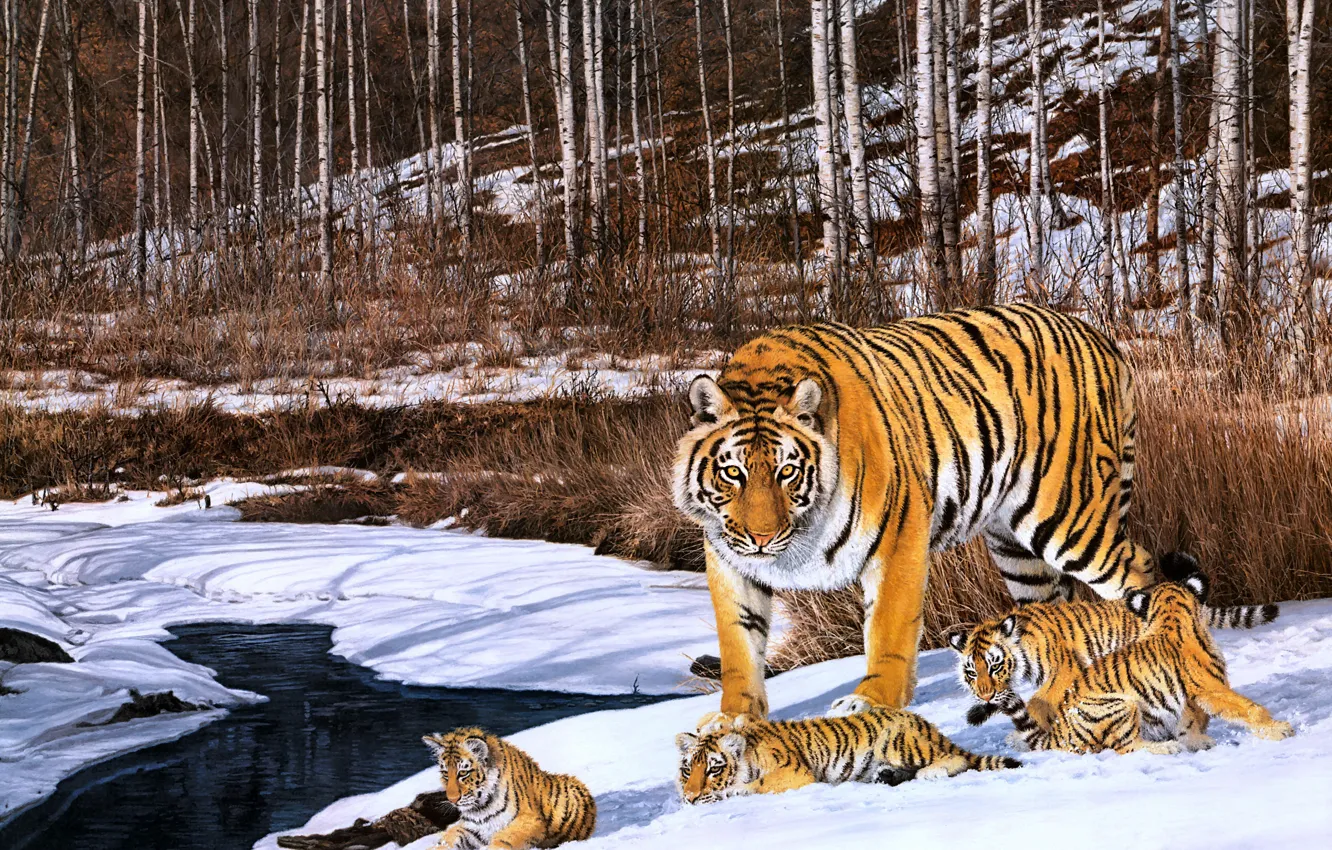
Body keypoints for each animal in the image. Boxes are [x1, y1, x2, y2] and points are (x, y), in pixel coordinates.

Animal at [423, 728, 595, 849]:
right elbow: (449, 838)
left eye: (463, 773)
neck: (481, 806)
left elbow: (504, 840)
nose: (452, 800)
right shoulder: (474, 826)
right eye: (445, 773)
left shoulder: (530, 821)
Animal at [674, 304, 1159, 725]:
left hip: (1069, 517)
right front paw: (733, 719)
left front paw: (871, 702)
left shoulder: (898, 535)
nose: (761, 537)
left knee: (1139, 569)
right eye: (733, 472)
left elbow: (888, 628)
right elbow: (738, 645)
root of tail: (1100, 337)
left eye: (787, 471)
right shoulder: (730, 562)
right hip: (1017, 548)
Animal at [674, 709, 1019, 804]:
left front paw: (733, 792)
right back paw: (885, 776)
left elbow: (757, 785)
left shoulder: (794, 771)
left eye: (713, 770)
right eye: (687, 770)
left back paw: (928, 772)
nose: (690, 798)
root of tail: (925, 723)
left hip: (898, 742)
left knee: (955, 759)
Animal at [998, 569, 1294, 755]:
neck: (1170, 617)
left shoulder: (1184, 694)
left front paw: (1197, 742)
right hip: (1121, 703)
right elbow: (1248, 708)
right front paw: (1278, 729)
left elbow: (1190, 720)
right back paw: (1165, 748)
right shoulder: (1210, 686)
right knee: (1126, 747)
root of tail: (1058, 733)